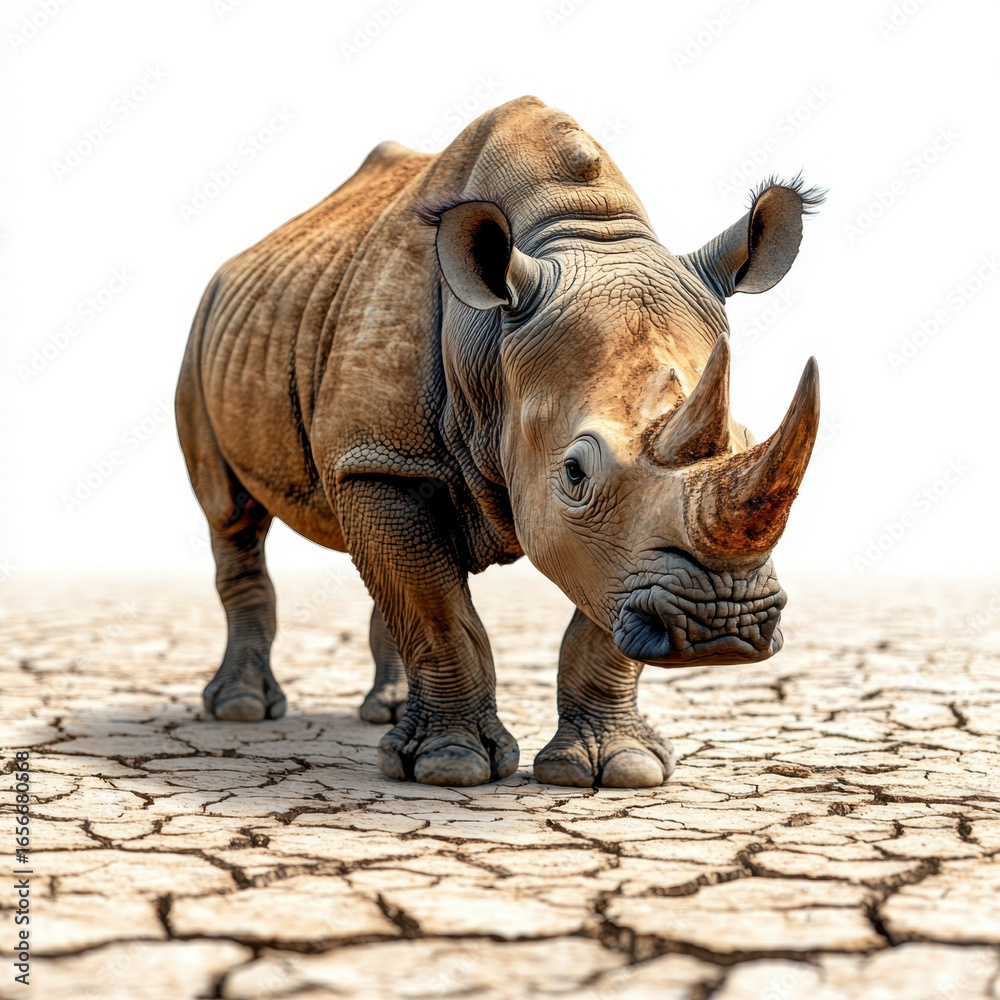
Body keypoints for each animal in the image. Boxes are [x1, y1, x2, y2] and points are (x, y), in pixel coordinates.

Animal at [176, 95, 823, 788]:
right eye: (575, 473)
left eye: (747, 437)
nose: (721, 625)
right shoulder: (383, 459)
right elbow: (435, 609)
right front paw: (449, 767)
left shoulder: (617, 549)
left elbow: (594, 616)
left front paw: (617, 769)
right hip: (205, 329)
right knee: (232, 516)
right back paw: (242, 711)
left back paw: (384, 714)